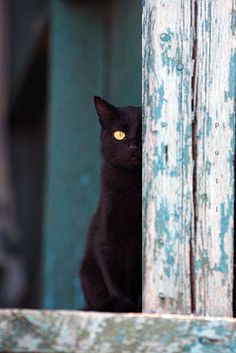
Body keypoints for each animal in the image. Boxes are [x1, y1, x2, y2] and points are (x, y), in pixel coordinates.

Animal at [79, 96, 142, 310]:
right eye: (119, 134)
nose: (132, 148)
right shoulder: (110, 234)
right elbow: (115, 269)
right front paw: (122, 303)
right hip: (88, 272)